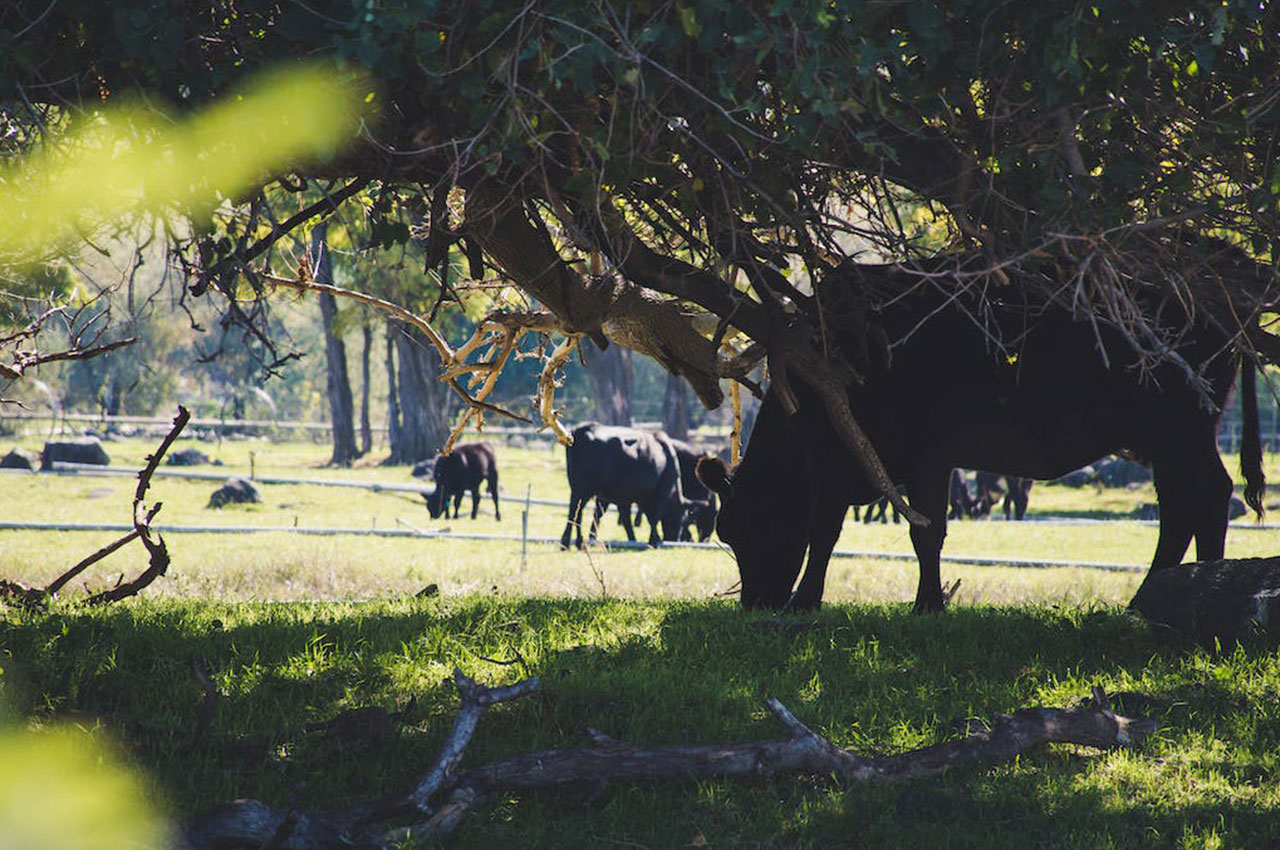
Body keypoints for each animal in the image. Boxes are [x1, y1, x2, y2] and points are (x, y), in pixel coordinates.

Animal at [563, 422, 696, 547]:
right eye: (681, 519)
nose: (674, 538)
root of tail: (584, 428)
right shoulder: (659, 494)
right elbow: (653, 518)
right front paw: (653, 541)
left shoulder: (614, 497)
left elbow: (610, 517)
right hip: (584, 489)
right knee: (575, 512)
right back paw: (569, 542)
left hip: (578, 490)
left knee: (576, 513)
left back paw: (573, 543)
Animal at [696, 262, 1264, 614]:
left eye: (742, 528)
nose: (756, 604)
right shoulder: (918, 460)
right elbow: (922, 530)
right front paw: (927, 604)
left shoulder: (853, 459)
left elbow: (836, 531)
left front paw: (809, 601)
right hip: (1168, 439)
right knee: (1184, 505)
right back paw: (1165, 592)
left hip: (1182, 429)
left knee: (1207, 495)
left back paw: (1199, 587)